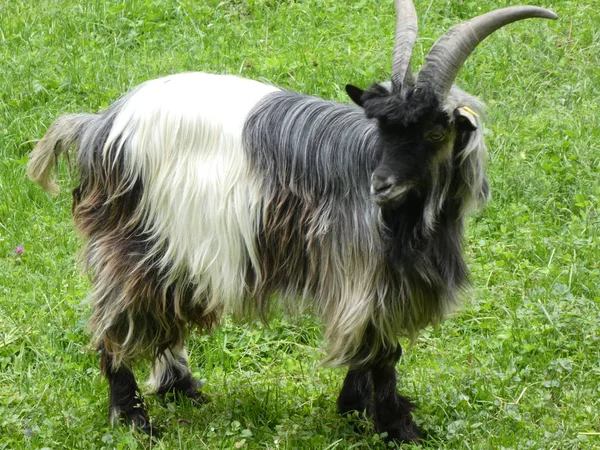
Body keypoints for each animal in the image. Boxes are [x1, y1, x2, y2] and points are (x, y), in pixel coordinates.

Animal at [25, 0, 556, 442]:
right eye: (383, 127)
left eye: (434, 131)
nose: (380, 185)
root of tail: (100, 128)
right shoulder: (362, 274)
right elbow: (382, 351)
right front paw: (397, 427)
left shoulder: (374, 280)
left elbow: (373, 345)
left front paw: (356, 406)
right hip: (134, 239)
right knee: (117, 321)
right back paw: (133, 418)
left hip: (173, 248)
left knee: (163, 313)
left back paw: (183, 388)